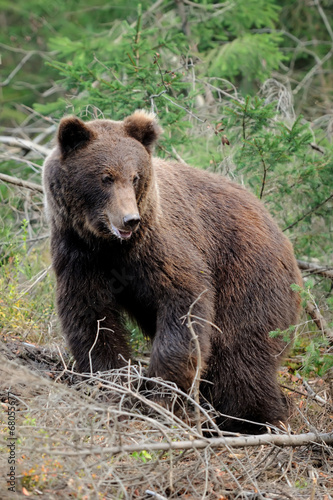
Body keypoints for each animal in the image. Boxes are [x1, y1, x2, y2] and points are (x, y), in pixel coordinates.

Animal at [42, 109, 302, 434]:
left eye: (135, 177)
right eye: (106, 177)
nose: (130, 220)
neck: (108, 244)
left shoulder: (158, 246)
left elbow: (184, 300)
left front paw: (163, 395)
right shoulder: (79, 254)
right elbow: (91, 316)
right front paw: (111, 383)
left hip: (249, 275)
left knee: (242, 354)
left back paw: (253, 420)